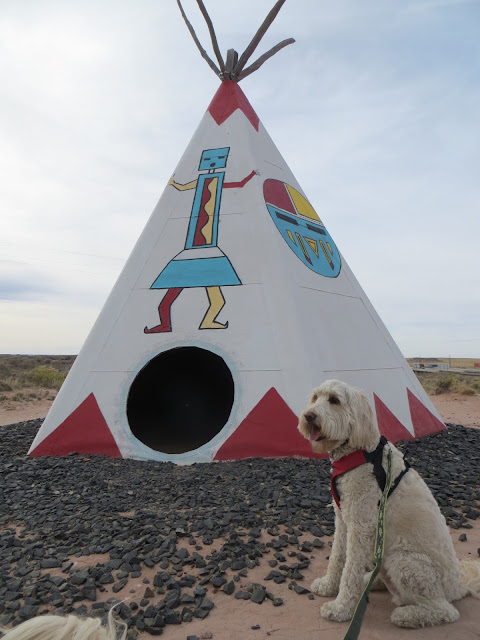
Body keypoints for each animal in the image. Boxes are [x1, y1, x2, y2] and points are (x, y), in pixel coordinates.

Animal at [298, 382, 480, 628]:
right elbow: (337, 557)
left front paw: (341, 608)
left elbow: (350, 570)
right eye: (315, 397)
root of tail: (457, 586)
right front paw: (328, 586)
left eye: (335, 400)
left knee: (445, 610)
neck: (360, 451)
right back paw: (370, 581)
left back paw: (406, 615)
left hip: (404, 562)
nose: (309, 416)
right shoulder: (343, 519)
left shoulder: (361, 526)